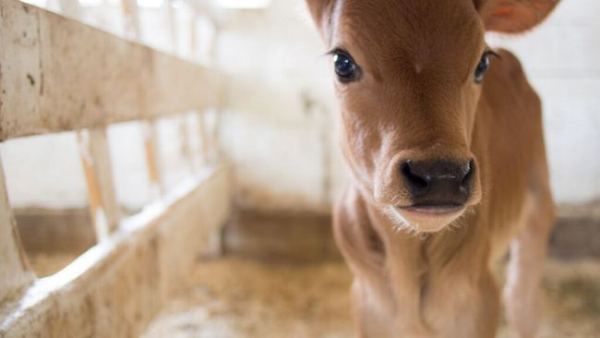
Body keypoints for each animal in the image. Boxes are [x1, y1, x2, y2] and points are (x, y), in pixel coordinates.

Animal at [308, 0, 560, 338]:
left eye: (482, 63)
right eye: (342, 62)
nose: (442, 176)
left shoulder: (475, 304)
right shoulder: (369, 306)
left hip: (539, 197)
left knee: (523, 300)